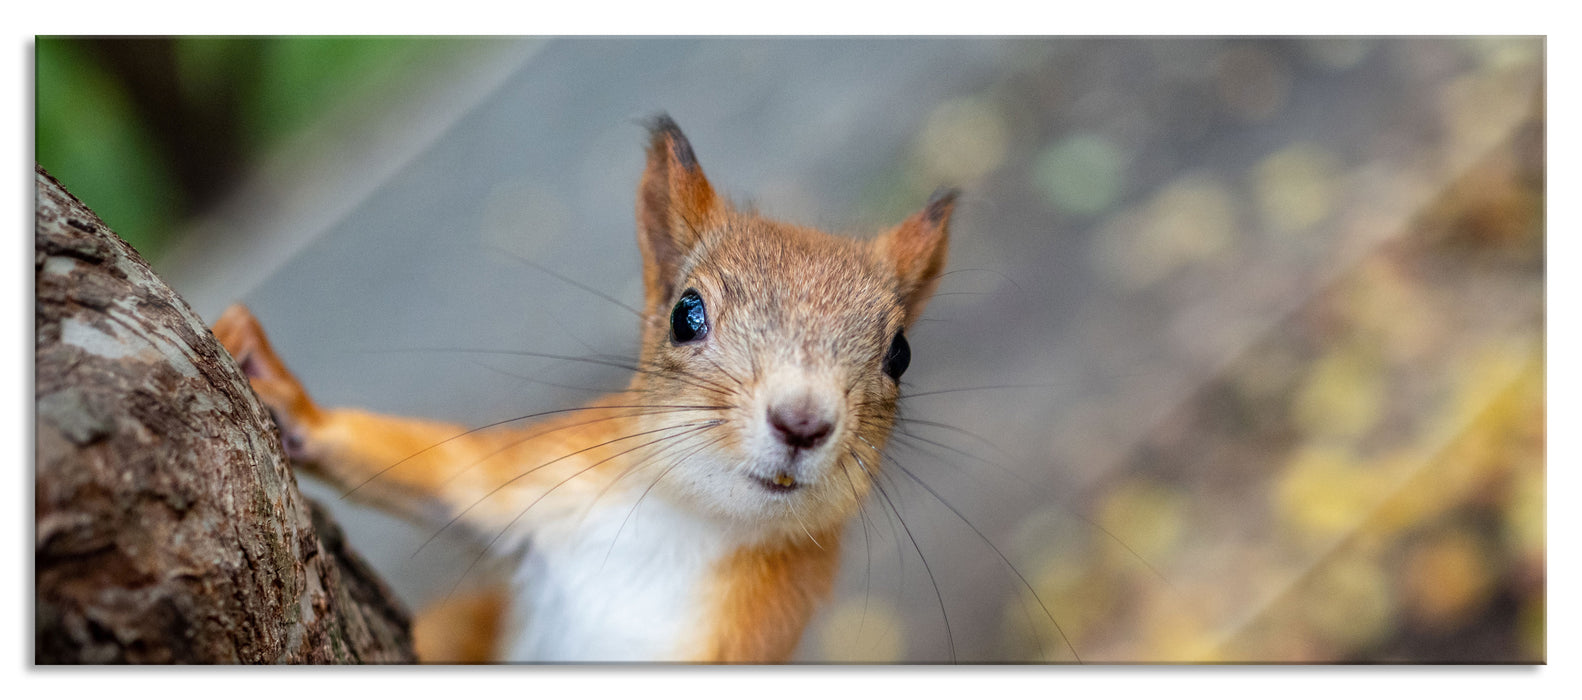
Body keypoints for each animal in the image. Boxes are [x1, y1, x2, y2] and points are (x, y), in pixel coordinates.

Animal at [208, 114, 949, 661]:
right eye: (686, 313)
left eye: (901, 353)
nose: (802, 422)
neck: (689, 524)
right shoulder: (549, 475)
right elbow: (444, 470)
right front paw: (282, 396)